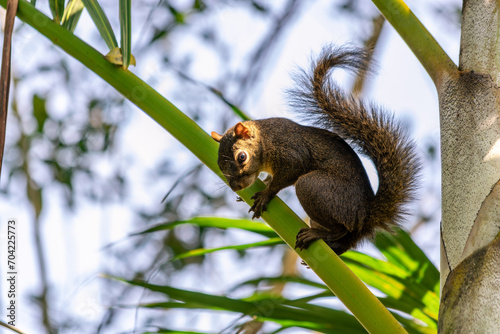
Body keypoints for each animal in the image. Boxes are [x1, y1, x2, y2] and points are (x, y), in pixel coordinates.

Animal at [211, 45, 422, 256]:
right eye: (219, 166)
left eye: (242, 157)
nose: (235, 187)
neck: (266, 139)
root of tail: (366, 215)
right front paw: (262, 183)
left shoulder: (291, 151)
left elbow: (289, 172)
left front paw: (266, 194)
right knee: (344, 242)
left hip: (315, 188)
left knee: (340, 228)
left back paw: (317, 235)